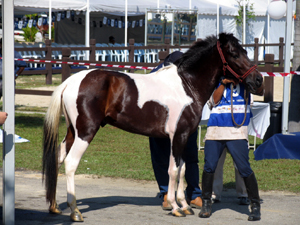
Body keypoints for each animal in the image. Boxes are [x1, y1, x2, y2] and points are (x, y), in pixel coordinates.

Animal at [42, 33, 262, 221]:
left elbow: (182, 169)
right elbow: (173, 170)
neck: (187, 85)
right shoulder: (177, 136)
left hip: (73, 131)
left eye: (245, 51)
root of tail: (70, 82)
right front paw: (175, 207)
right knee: (70, 163)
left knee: (58, 158)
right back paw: (75, 211)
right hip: (85, 133)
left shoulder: (183, 137)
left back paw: (54, 206)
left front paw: (185, 205)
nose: (258, 79)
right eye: (234, 54)